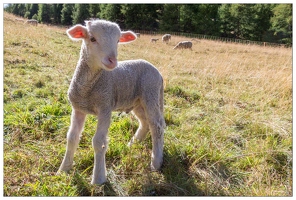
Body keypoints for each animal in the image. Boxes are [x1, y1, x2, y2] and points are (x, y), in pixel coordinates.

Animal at [56, 19, 165, 184]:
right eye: (92, 39)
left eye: (118, 40)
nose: (112, 61)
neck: (90, 87)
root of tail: (157, 72)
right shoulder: (78, 108)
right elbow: (72, 137)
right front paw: (63, 169)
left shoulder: (105, 107)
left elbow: (98, 142)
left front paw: (98, 178)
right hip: (137, 101)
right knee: (145, 123)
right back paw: (132, 144)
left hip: (151, 94)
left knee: (156, 126)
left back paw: (156, 163)